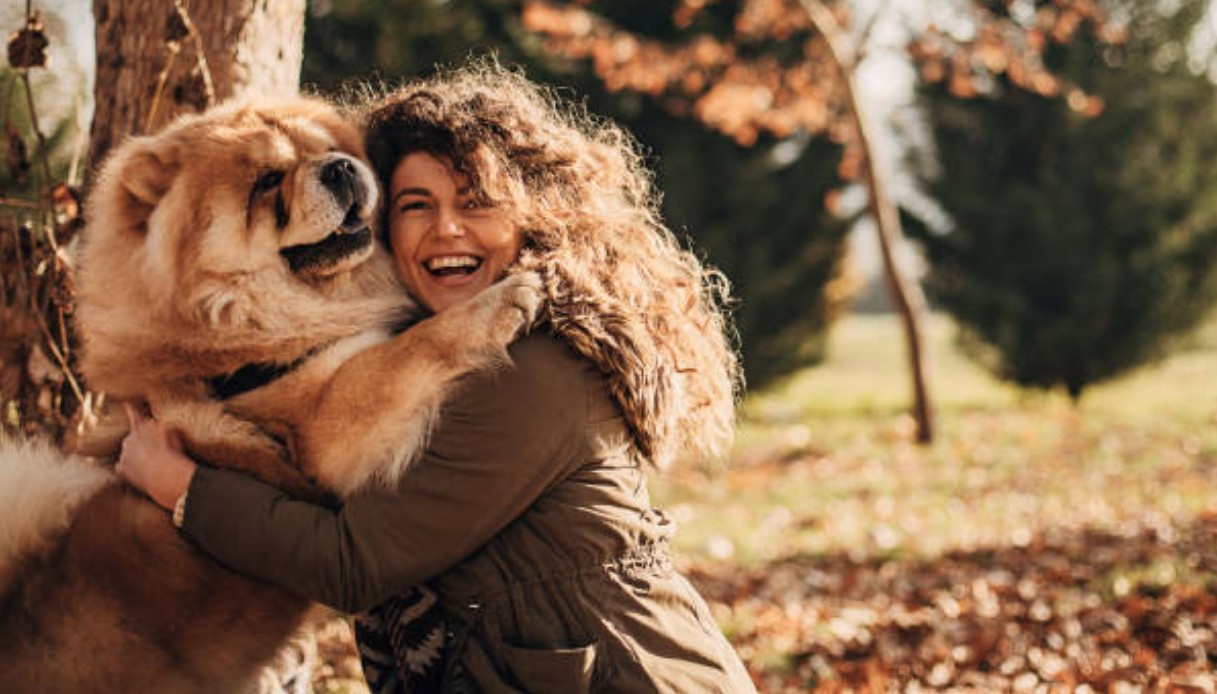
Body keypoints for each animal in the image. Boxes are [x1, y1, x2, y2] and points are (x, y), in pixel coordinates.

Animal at [0, 96, 542, 686]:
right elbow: (408, 348)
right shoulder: (318, 428)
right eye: (266, 181)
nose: (341, 168)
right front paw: (505, 298)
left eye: (331, 149)